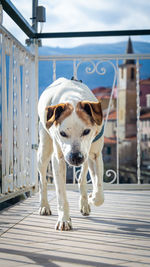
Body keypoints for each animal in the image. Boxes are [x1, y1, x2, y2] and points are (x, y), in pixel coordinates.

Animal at [37, 77, 104, 230]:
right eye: (62, 133)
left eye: (86, 131)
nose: (75, 158)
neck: (73, 98)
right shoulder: (59, 159)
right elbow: (61, 195)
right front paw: (64, 220)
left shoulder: (95, 155)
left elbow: (99, 193)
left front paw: (91, 198)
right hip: (43, 151)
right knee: (43, 181)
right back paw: (44, 206)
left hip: (87, 157)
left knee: (81, 178)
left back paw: (84, 203)